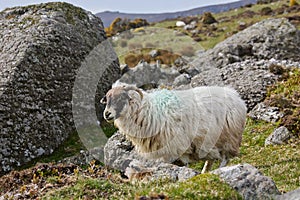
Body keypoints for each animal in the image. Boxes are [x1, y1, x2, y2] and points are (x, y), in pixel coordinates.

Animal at [101, 83, 246, 173]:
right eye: (107, 99)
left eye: (121, 98)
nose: (106, 114)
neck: (145, 110)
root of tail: (236, 96)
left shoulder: (176, 146)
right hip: (210, 141)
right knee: (211, 159)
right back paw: (205, 172)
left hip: (228, 137)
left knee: (225, 158)